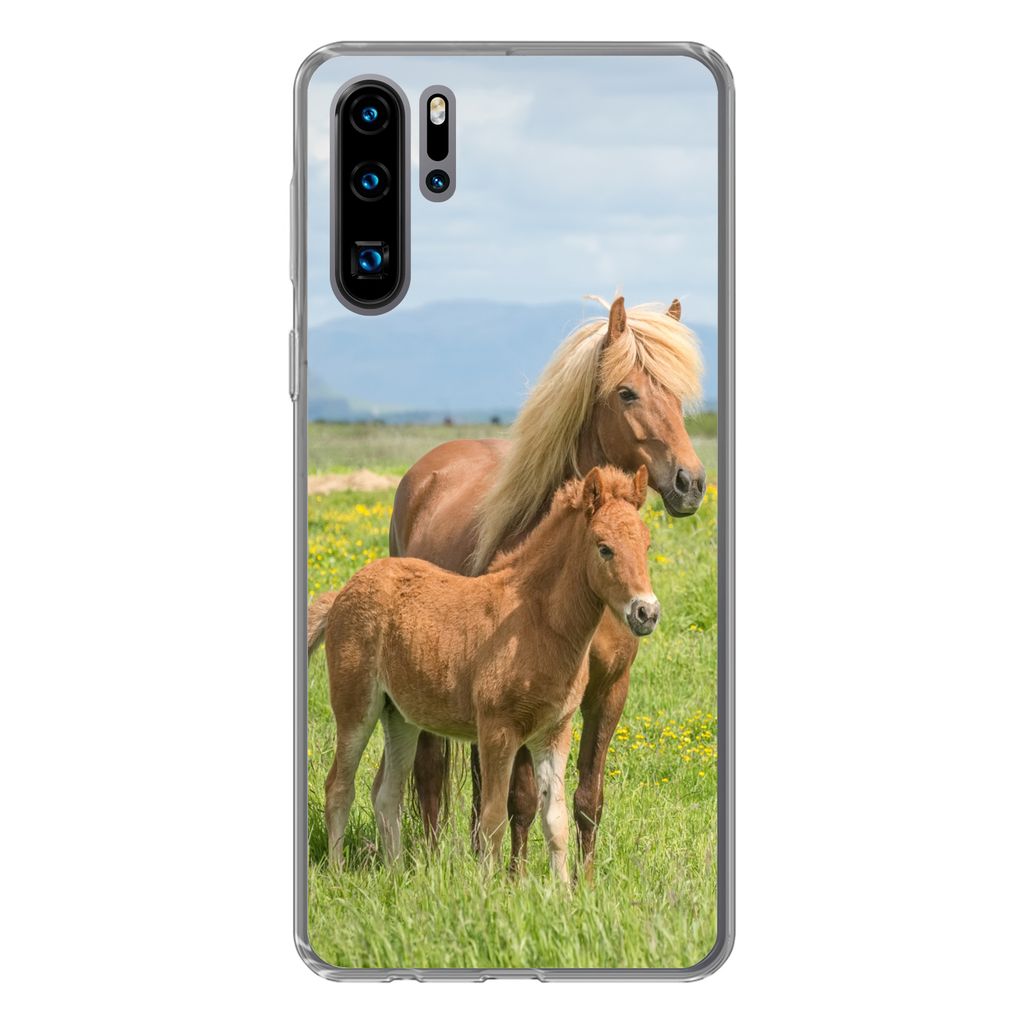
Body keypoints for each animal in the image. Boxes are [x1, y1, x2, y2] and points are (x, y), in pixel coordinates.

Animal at [308, 466, 658, 881]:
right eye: (604, 548)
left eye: (647, 546)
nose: (646, 613)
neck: (535, 621)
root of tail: (342, 593)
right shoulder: (497, 730)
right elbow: (492, 818)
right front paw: (489, 888)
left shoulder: (554, 732)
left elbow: (554, 819)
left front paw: (562, 889)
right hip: (356, 707)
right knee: (339, 787)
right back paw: (337, 872)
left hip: (400, 716)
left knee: (386, 793)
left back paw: (397, 876)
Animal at [384, 295, 706, 880]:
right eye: (627, 392)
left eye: (677, 394)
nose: (689, 484)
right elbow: (522, 800)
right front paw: (514, 881)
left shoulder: (608, 690)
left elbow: (586, 798)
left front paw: (585, 881)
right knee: (432, 771)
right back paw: (434, 858)